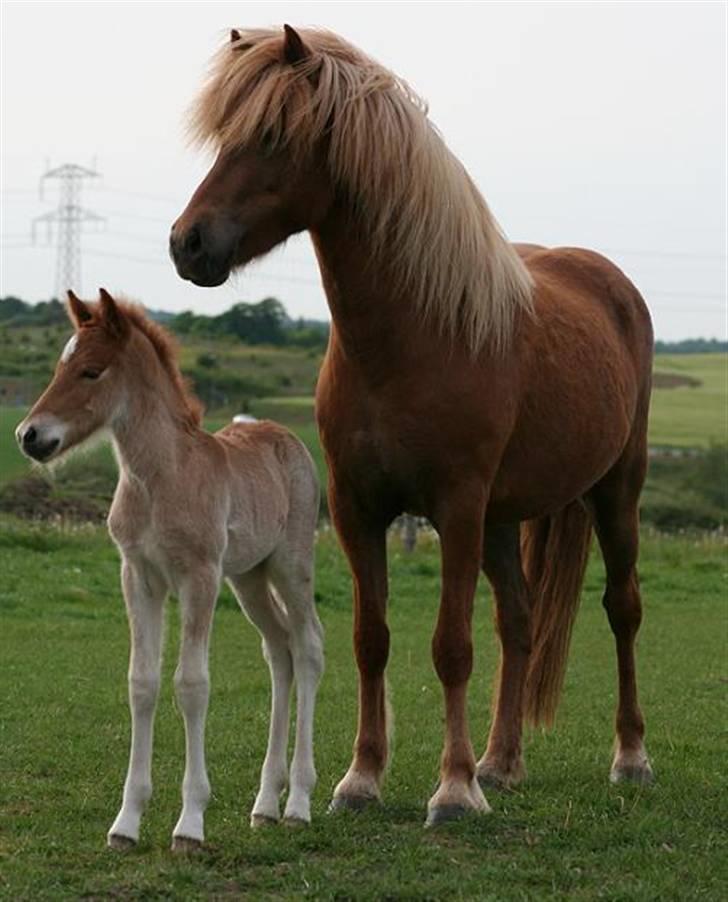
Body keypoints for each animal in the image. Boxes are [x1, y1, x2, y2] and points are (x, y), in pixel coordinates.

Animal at [16, 292, 324, 856]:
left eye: (92, 370)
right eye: (58, 366)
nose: (29, 436)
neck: (160, 478)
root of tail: (285, 435)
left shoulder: (198, 578)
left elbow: (191, 684)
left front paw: (190, 824)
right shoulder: (138, 578)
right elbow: (142, 682)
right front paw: (126, 822)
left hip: (290, 565)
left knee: (309, 645)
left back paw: (297, 804)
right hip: (248, 578)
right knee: (279, 650)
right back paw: (265, 804)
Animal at [171, 26, 656, 828]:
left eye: (272, 136)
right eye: (222, 136)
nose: (188, 243)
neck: (413, 338)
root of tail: (610, 283)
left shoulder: (454, 508)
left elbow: (450, 646)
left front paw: (452, 790)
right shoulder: (357, 508)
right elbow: (372, 639)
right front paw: (361, 779)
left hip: (614, 493)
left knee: (623, 611)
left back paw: (629, 757)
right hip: (502, 519)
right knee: (518, 622)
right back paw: (502, 762)